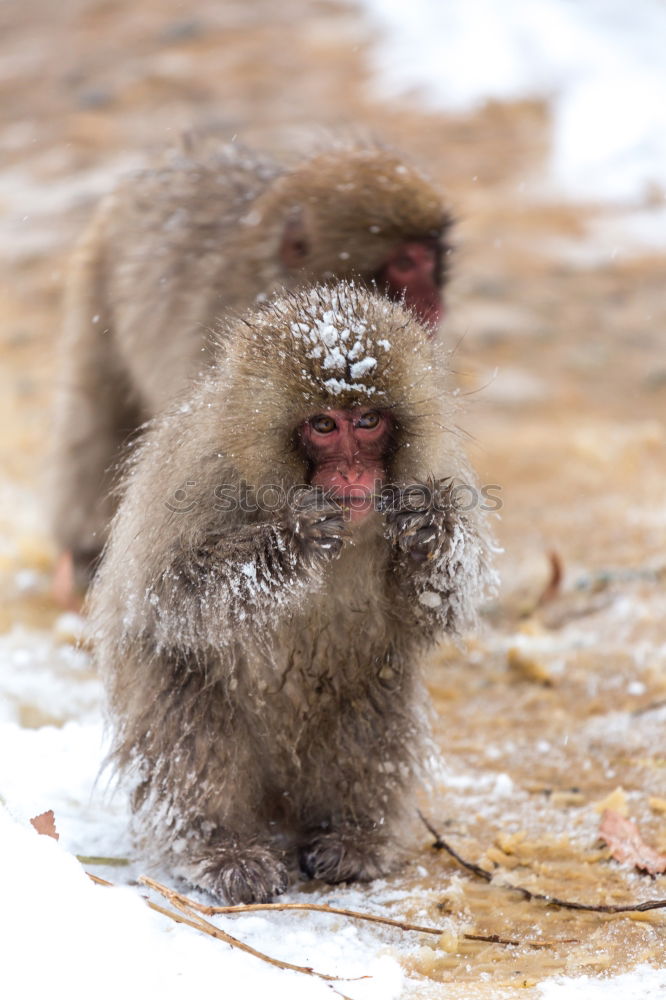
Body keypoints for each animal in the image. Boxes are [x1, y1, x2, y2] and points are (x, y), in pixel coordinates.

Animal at [89, 284, 492, 908]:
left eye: (368, 421)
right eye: (323, 425)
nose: (351, 474)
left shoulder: (436, 468)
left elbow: (435, 612)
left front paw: (431, 533)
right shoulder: (196, 475)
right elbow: (169, 598)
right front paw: (292, 542)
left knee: (374, 691)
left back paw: (352, 838)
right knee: (185, 705)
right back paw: (222, 848)